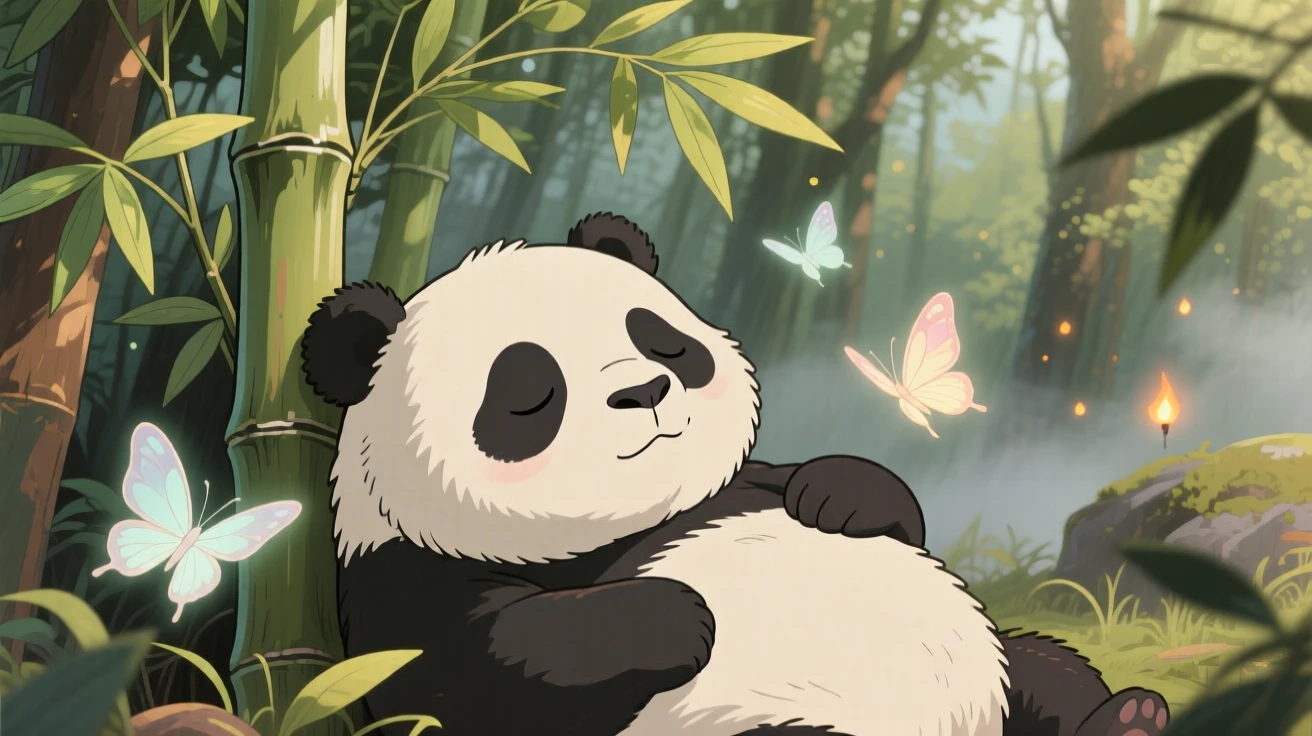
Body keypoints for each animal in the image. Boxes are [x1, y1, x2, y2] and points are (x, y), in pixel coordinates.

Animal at [300, 213, 1171, 736]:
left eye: (657, 336)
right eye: (530, 390)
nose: (644, 392)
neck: (626, 520)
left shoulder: (739, 487)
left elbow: (855, 497)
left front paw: (841, 493)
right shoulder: (405, 573)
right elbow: (470, 670)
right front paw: (675, 614)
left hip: (994, 675)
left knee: (1044, 667)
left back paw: (1128, 717)